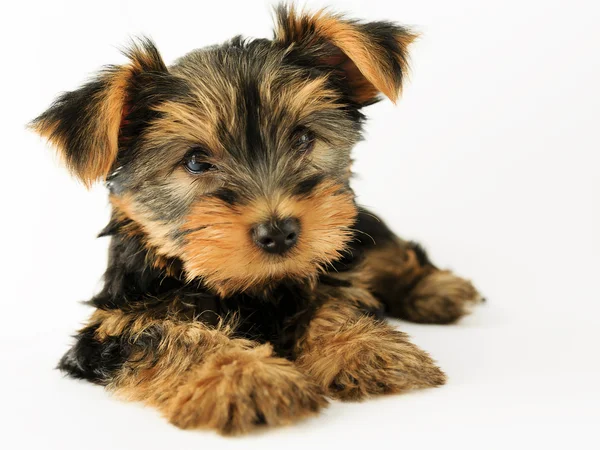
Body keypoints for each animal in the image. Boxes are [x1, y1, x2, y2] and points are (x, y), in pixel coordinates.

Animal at [31, 4, 482, 436]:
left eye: (302, 138)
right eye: (196, 161)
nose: (279, 232)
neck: (252, 287)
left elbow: (333, 302)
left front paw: (363, 348)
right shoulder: (114, 323)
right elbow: (169, 335)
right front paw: (246, 378)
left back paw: (436, 289)